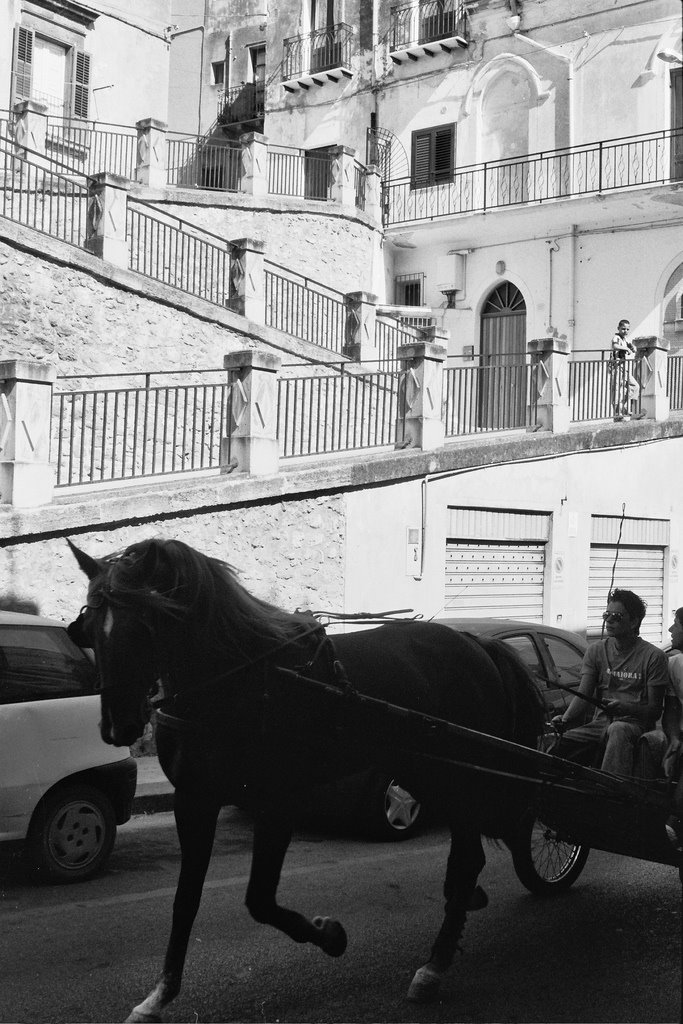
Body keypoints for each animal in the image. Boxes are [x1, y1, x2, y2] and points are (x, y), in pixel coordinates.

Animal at [66, 540, 548, 1019]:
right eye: (89, 629)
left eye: (146, 625)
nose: (119, 726)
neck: (238, 682)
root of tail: (476, 642)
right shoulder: (194, 799)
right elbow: (185, 901)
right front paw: (160, 994)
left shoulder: (276, 802)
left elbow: (260, 900)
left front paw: (330, 935)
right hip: (428, 774)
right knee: (466, 858)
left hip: (459, 778)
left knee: (468, 857)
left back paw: (435, 963)